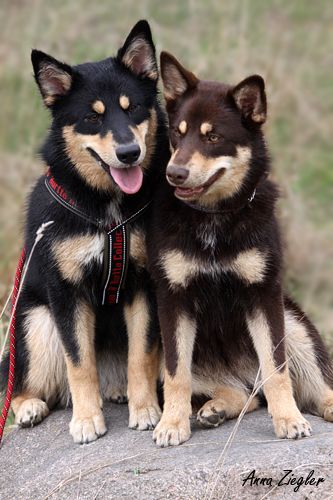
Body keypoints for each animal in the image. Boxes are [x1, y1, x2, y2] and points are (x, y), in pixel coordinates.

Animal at [0, 19, 169, 444]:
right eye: (93, 118)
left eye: (133, 108)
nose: (129, 153)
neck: (106, 213)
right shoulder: (66, 293)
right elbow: (79, 363)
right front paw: (87, 420)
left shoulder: (143, 286)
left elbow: (141, 357)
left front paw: (146, 410)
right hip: (35, 323)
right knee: (19, 381)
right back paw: (30, 406)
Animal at [147, 52, 332, 448]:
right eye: (177, 133)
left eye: (213, 136)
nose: (174, 173)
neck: (214, 217)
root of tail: (243, 373)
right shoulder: (173, 302)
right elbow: (177, 375)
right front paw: (172, 423)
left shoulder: (264, 296)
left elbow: (278, 372)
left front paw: (288, 419)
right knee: (243, 394)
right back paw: (215, 408)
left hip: (294, 325)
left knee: (307, 387)